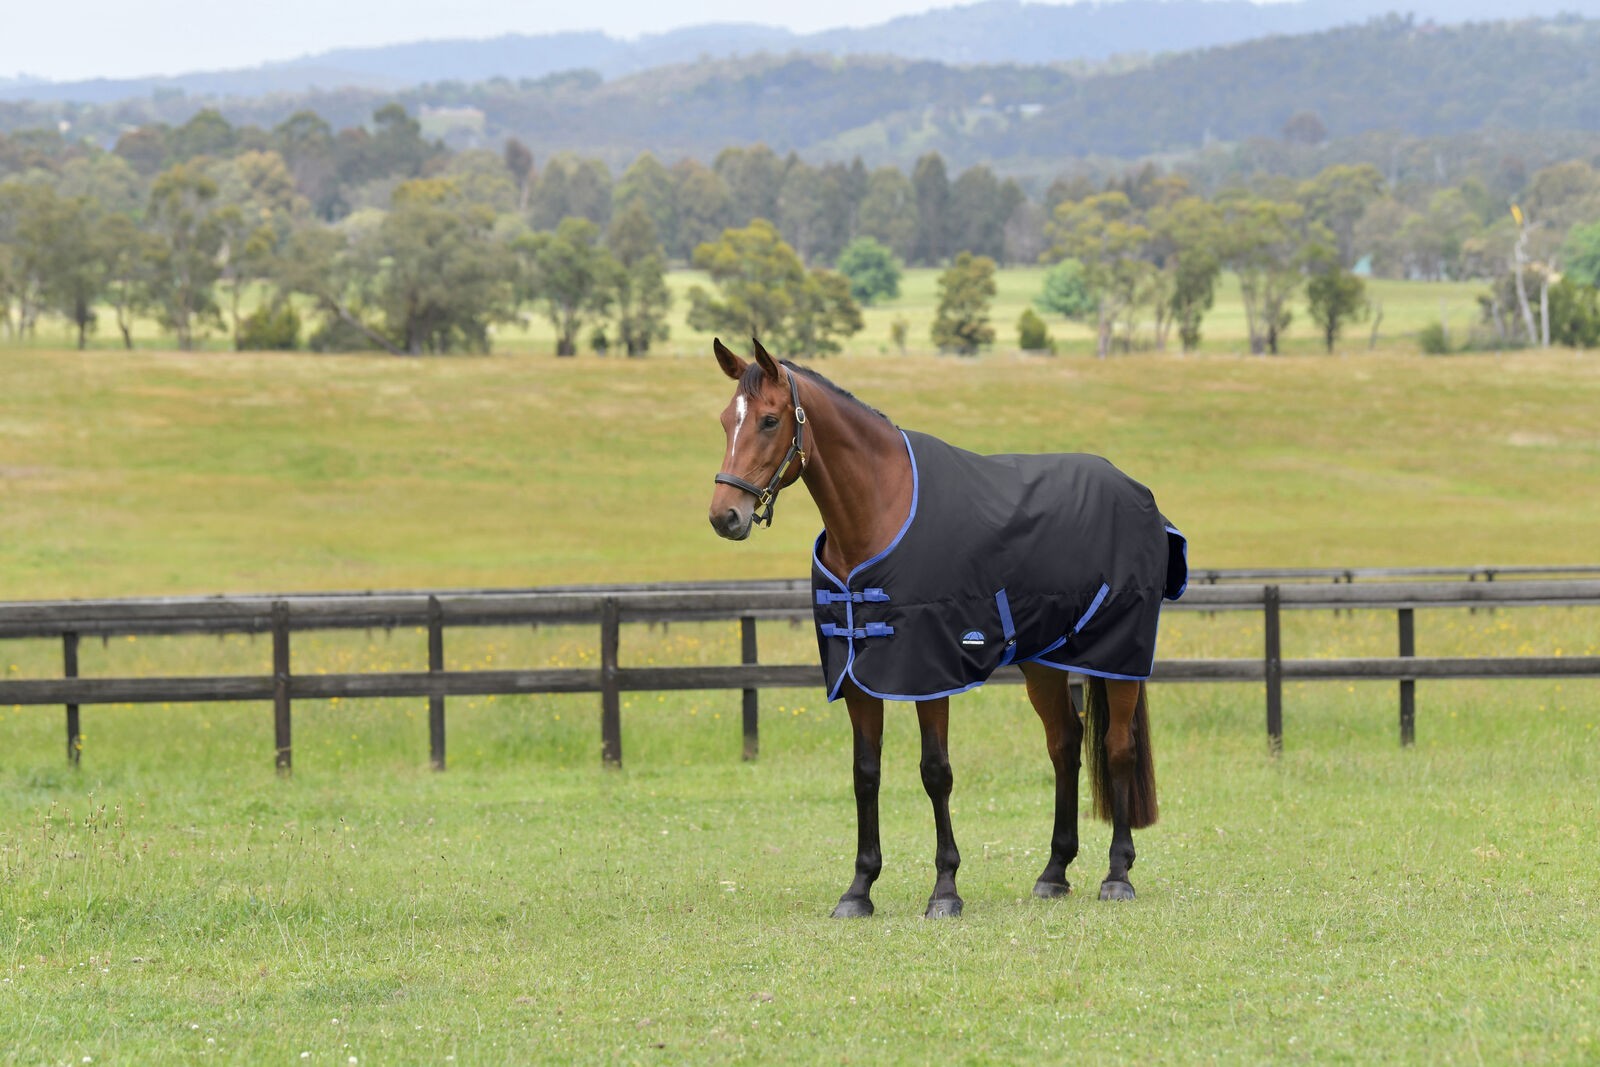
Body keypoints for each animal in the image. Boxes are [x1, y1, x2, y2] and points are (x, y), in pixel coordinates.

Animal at [707, 337, 1187, 918]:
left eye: (771, 420)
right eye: (725, 422)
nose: (724, 516)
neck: (879, 513)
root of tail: (1138, 492)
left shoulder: (928, 673)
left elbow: (935, 772)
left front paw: (945, 889)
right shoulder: (857, 678)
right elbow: (865, 773)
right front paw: (859, 889)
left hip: (1117, 657)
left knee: (1118, 748)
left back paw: (1117, 875)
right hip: (1043, 661)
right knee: (1065, 744)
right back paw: (1054, 871)